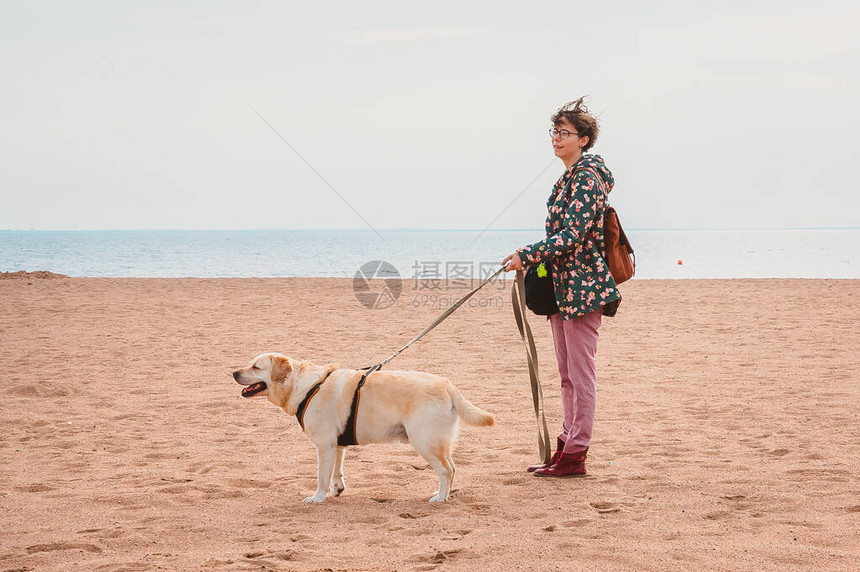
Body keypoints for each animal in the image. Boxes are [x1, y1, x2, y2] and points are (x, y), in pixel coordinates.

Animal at [235, 350, 494, 502]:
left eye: (256, 367)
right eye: (249, 364)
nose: (234, 372)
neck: (304, 386)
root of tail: (447, 385)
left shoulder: (324, 446)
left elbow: (321, 477)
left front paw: (317, 498)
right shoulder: (337, 445)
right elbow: (337, 470)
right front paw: (337, 489)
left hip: (424, 442)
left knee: (446, 470)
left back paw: (440, 498)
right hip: (439, 442)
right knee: (452, 468)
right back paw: (442, 492)